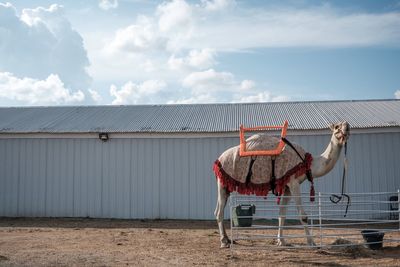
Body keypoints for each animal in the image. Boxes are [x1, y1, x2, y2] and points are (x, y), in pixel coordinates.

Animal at [212, 122, 350, 248]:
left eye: (345, 123)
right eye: (337, 126)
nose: (347, 126)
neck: (308, 163)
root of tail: (218, 159)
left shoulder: (286, 186)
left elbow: (282, 214)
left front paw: (282, 241)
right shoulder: (294, 182)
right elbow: (303, 216)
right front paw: (312, 243)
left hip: (226, 185)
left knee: (218, 209)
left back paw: (228, 239)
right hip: (222, 182)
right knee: (219, 212)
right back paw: (224, 242)